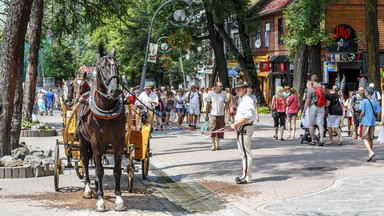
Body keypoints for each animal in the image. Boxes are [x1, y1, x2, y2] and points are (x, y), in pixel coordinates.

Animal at [76, 44, 126, 212]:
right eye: (103, 66)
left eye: (117, 66)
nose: (115, 91)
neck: (107, 108)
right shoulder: (95, 142)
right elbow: (98, 170)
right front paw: (100, 201)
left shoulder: (119, 143)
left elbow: (117, 170)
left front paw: (118, 199)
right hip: (83, 141)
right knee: (86, 162)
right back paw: (88, 189)